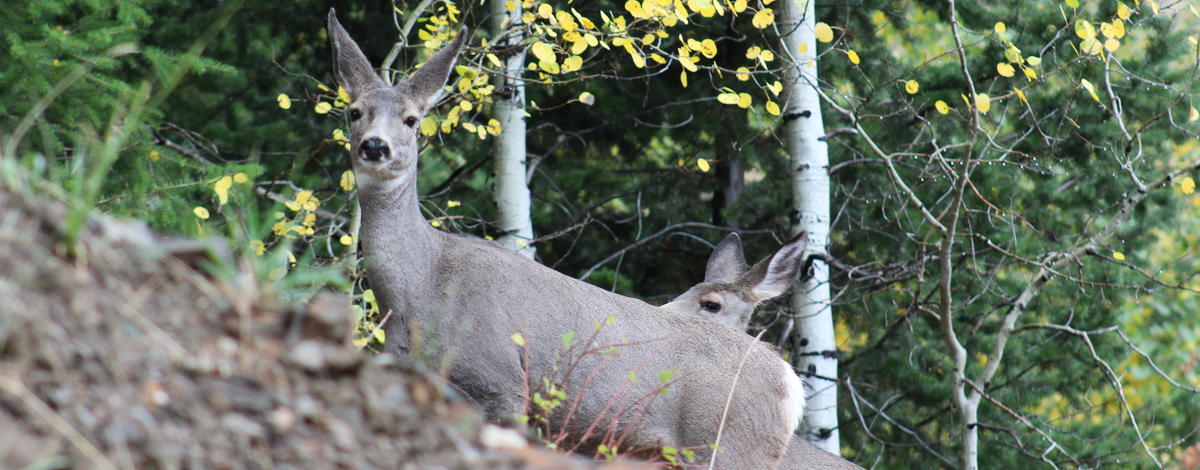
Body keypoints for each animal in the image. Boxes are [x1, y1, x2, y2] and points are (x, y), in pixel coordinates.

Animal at [326, 11, 806, 470]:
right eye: (354, 111)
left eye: (412, 119)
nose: (375, 146)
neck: (417, 292)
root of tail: (792, 387)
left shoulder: (499, 383)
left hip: (727, 446)